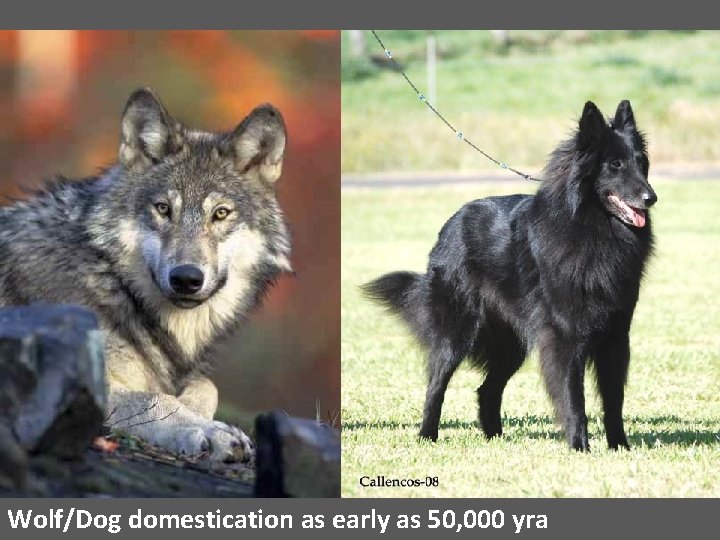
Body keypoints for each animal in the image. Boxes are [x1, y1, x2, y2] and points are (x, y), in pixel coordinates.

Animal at [0, 88, 292, 461]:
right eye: (163, 209)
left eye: (221, 213)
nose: (186, 278)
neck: (110, 279)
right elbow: (153, 398)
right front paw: (208, 431)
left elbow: (206, 385)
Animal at [364, 100, 656, 451]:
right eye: (614, 164)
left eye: (641, 162)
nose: (651, 198)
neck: (593, 230)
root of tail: (451, 223)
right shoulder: (565, 336)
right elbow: (574, 397)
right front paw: (579, 446)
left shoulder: (616, 336)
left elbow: (614, 399)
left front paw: (620, 447)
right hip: (458, 333)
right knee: (436, 385)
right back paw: (427, 435)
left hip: (511, 344)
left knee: (487, 389)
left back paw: (494, 437)